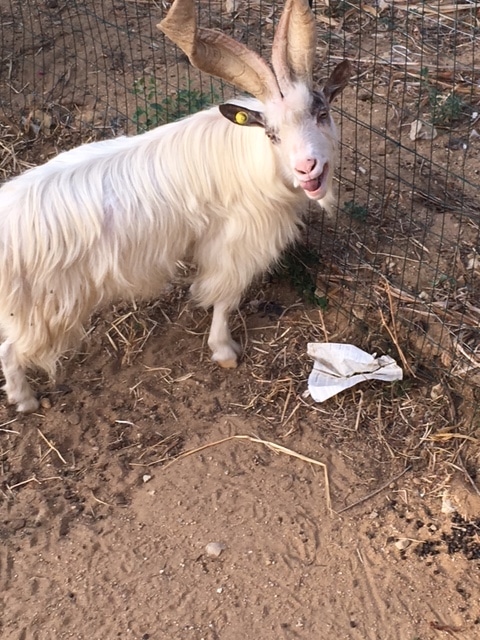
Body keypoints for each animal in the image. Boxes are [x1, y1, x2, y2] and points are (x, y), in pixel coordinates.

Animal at [0, 0, 348, 412]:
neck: (251, 157)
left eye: (322, 113)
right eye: (272, 134)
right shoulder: (234, 246)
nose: (308, 167)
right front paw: (225, 351)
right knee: (10, 349)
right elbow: (224, 298)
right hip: (41, 310)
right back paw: (25, 400)